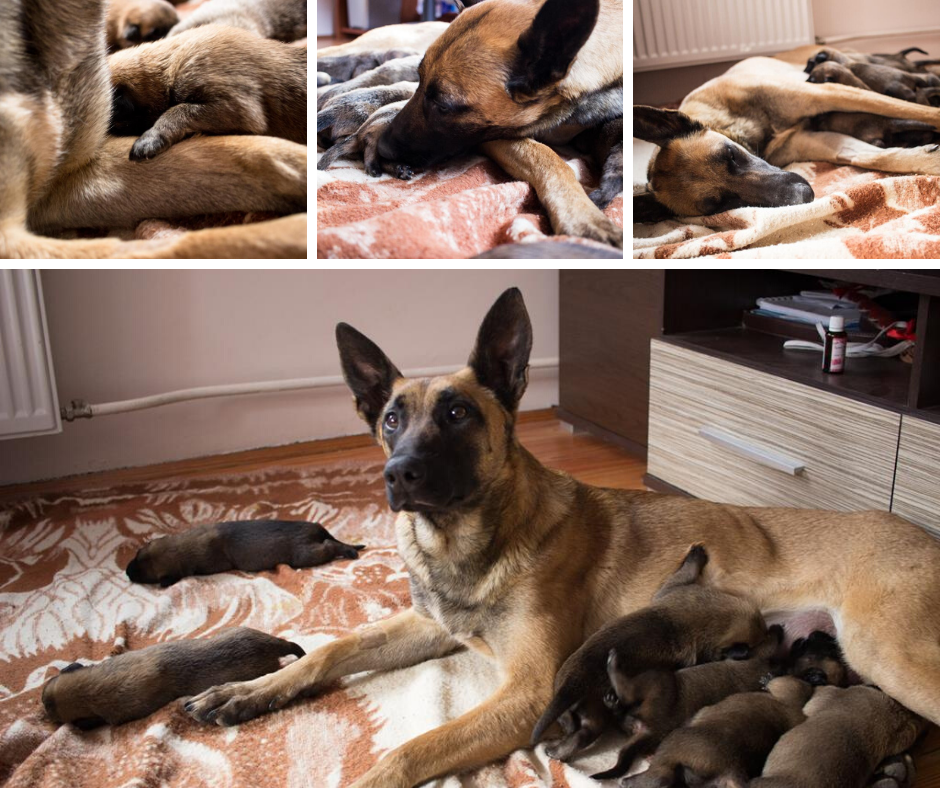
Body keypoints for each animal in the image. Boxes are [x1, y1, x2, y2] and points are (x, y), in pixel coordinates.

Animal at [125, 520, 365, 587]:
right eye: (136, 555)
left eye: (145, 575)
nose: (127, 572)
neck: (180, 545)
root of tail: (317, 527)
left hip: (305, 554)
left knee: (330, 545)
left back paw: (349, 552)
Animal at [531, 544, 766, 761]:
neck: (713, 614)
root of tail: (575, 682)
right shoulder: (675, 589)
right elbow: (684, 573)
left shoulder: (675, 590)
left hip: (588, 707)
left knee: (581, 731)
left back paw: (557, 751)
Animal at [594, 625, 784, 780]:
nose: (777, 627)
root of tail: (651, 730)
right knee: (621, 716)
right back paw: (613, 704)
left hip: (659, 680)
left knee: (626, 690)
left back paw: (613, 665)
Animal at [635, 45, 940, 221]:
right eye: (719, 204)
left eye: (730, 155)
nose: (803, 195)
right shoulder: (823, 140)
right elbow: (876, 157)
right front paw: (928, 158)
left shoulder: (827, 93)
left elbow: (916, 111)